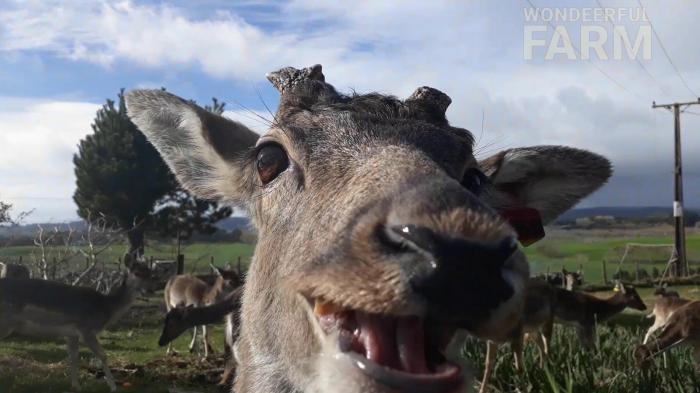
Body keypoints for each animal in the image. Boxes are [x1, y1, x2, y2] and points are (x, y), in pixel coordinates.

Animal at [0, 258, 156, 390]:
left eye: (150, 272)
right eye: (137, 273)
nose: (151, 290)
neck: (106, 308)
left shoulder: (71, 333)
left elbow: (73, 357)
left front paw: (76, 386)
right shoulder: (86, 329)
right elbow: (103, 355)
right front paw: (113, 386)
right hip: (5, 322)